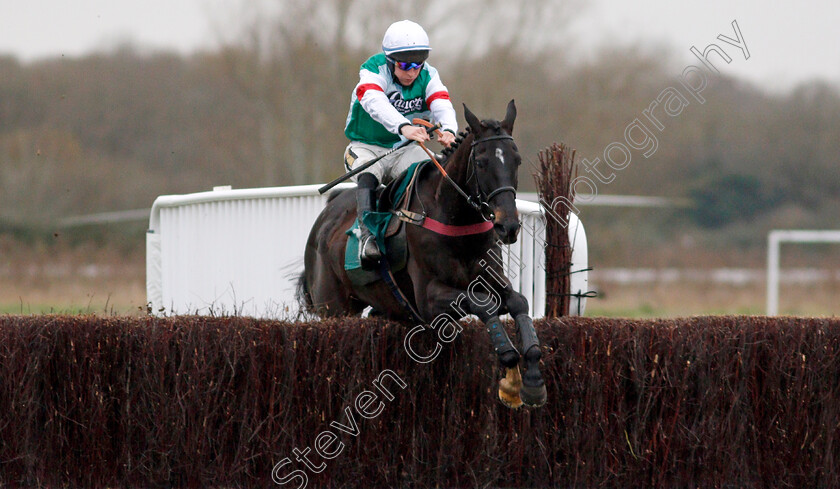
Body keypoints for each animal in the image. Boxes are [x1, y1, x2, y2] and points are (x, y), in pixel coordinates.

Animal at [298, 101, 548, 406]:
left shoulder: (491, 279)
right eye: (481, 162)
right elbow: (482, 304)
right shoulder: (429, 299)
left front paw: (532, 380)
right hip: (333, 309)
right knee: (367, 176)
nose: (508, 226)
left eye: (517, 160)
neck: (455, 219)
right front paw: (511, 373)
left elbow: (519, 302)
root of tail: (323, 220)